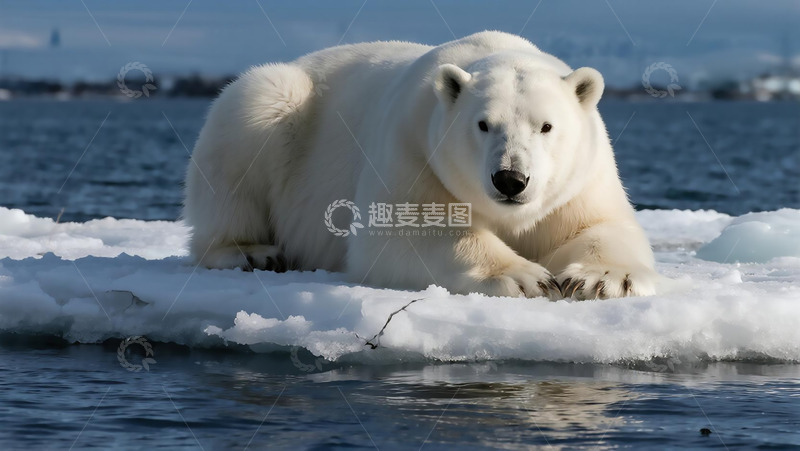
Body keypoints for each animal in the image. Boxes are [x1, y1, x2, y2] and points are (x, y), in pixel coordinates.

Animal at [183, 31, 660, 300]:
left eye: (546, 126)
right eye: (483, 124)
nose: (510, 179)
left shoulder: (583, 177)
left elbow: (600, 225)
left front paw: (603, 279)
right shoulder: (413, 147)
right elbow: (404, 232)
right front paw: (526, 277)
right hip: (274, 106)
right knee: (253, 121)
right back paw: (252, 252)